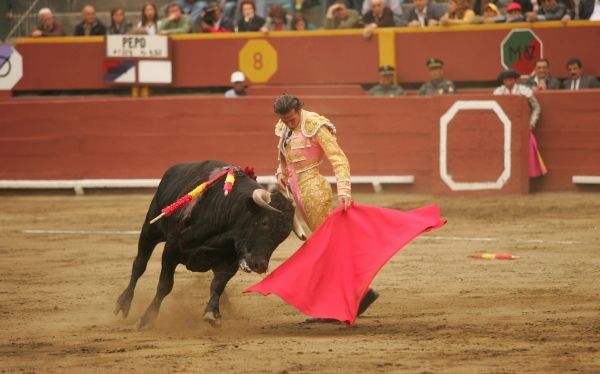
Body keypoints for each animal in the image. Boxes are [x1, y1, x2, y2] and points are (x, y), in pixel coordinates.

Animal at [113, 160, 304, 328]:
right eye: (264, 222)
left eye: (282, 236)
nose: (260, 265)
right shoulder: (171, 250)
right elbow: (165, 285)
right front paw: (146, 319)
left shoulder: (229, 262)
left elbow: (217, 285)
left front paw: (212, 313)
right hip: (150, 229)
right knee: (139, 264)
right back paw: (123, 303)